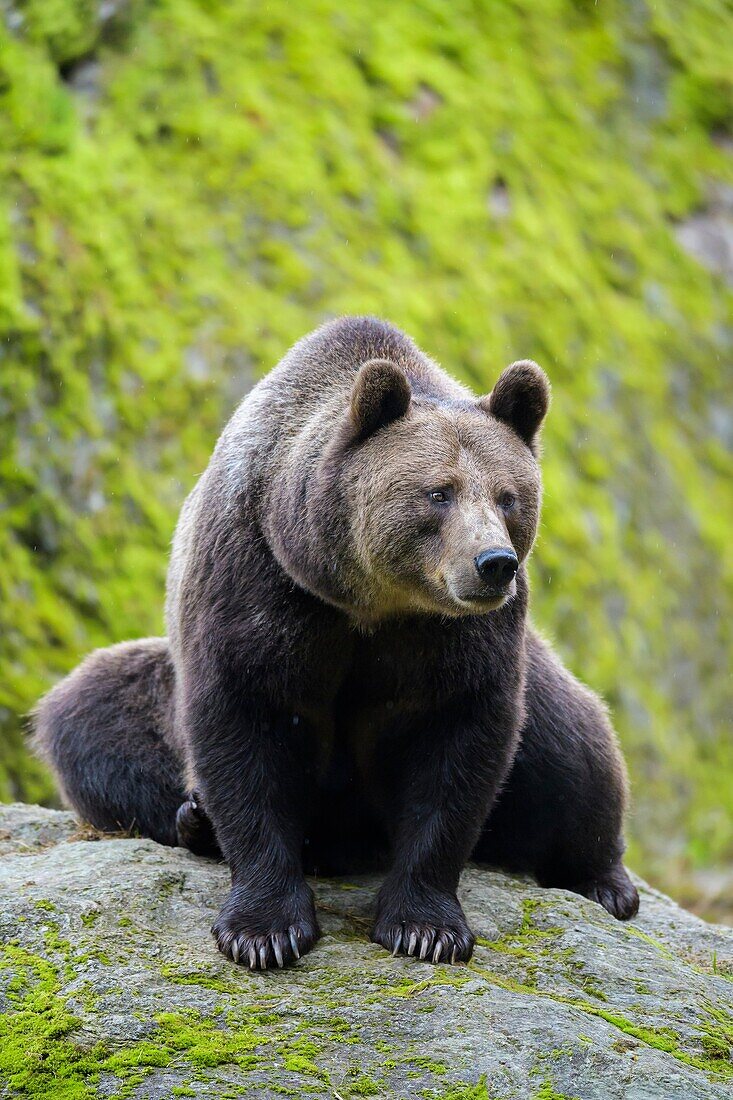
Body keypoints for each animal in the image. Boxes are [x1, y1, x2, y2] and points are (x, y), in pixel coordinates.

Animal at [34, 319, 638, 972]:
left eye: (508, 496)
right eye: (440, 493)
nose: (493, 563)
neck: (368, 601)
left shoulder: (455, 640)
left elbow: (459, 747)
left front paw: (424, 927)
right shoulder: (258, 585)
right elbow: (244, 727)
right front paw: (264, 931)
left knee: (572, 751)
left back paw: (606, 881)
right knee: (92, 716)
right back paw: (195, 820)